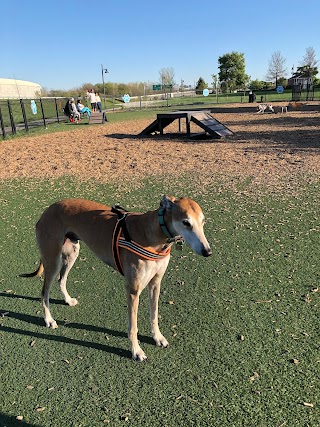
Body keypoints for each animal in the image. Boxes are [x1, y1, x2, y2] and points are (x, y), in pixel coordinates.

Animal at [20, 196, 210, 362]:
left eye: (203, 221)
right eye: (186, 222)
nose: (207, 251)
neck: (154, 232)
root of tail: (48, 210)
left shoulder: (155, 283)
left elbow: (154, 315)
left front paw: (158, 337)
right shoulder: (133, 289)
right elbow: (133, 327)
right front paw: (136, 351)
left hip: (72, 252)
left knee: (61, 280)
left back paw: (68, 300)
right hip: (53, 259)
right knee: (44, 292)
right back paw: (49, 320)